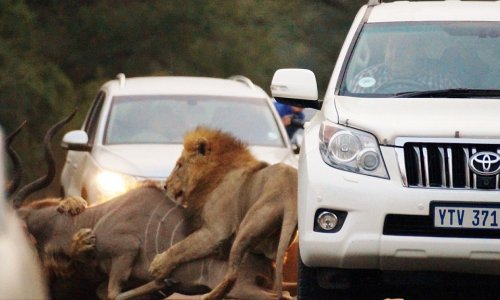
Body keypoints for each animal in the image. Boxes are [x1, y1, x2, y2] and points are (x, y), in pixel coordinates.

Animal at [148, 126, 296, 300]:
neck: (214, 174)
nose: (165, 186)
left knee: (233, 274)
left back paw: (209, 296)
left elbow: (183, 246)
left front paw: (158, 266)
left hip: (248, 225)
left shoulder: (216, 231)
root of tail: (290, 194)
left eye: (179, 165)